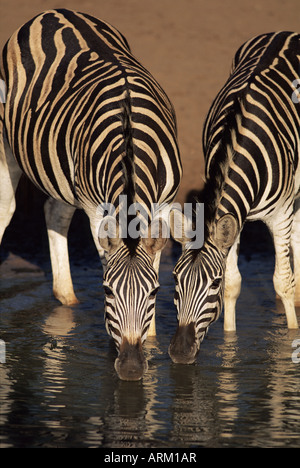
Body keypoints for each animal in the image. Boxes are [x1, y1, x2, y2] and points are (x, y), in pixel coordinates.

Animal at [0, 8, 180, 380]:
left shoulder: (163, 204)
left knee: (55, 211)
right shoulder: (96, 208)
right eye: (107, 291)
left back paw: (67, 299)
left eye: (155, 292)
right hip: (7, 143)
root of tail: (54, 11)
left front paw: (151, 345)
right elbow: (104, 260)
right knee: (5, 209)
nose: (130, 369)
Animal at [169, 32, 300, 366]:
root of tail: (284, 34)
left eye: (211, 284)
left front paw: (291, 337)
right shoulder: (233, 219)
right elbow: (234, 284)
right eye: (175, 280)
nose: (180, 353)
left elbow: (282, 281)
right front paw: (230, 347)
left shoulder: (279, 215)